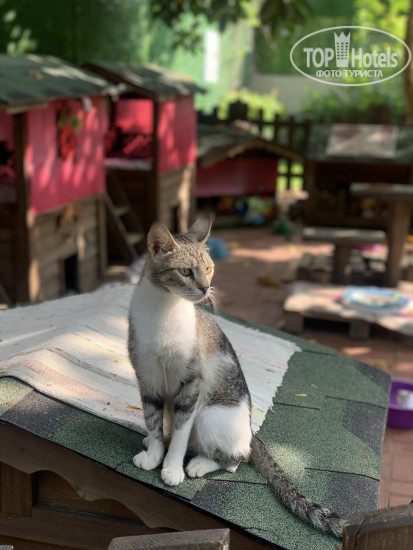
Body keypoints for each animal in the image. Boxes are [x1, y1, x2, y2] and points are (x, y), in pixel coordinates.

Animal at [128, 217, 344, 539]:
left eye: (208, 269)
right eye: (184, 271)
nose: (205, 288)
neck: (163, 311)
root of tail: (252, 433)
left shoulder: (191, 384)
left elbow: (180, 433)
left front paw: (172, 468)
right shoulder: (147, 377)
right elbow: (154, 421)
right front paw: (154, 454)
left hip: (210, 415)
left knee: (233, 459)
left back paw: (199, 464)